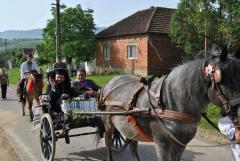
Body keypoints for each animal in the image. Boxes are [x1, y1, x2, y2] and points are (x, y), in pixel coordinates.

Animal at [100, 47, 240, 161]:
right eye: (222, 79)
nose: (239, 112)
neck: (172, 102)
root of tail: (110, 82)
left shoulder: (180, 146)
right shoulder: (162, 145)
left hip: (131, 129)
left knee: (133, 147)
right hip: (108, 124)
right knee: (108, 143)